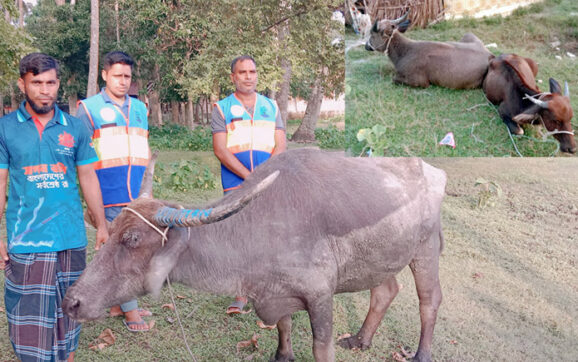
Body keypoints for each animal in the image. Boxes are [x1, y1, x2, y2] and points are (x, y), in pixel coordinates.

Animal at [63, 148, 444, 360]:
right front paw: (282, 356)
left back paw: (421, 354)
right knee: (385, 290)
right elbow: (283, 326)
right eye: (111, 231)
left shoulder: (321, 297)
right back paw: (362, 340)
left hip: (426, 250)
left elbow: (321, 347)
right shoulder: (274, 292)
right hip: (382, 260)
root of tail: (432, 171)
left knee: (429, 301)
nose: (71, 302)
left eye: (131, 239)